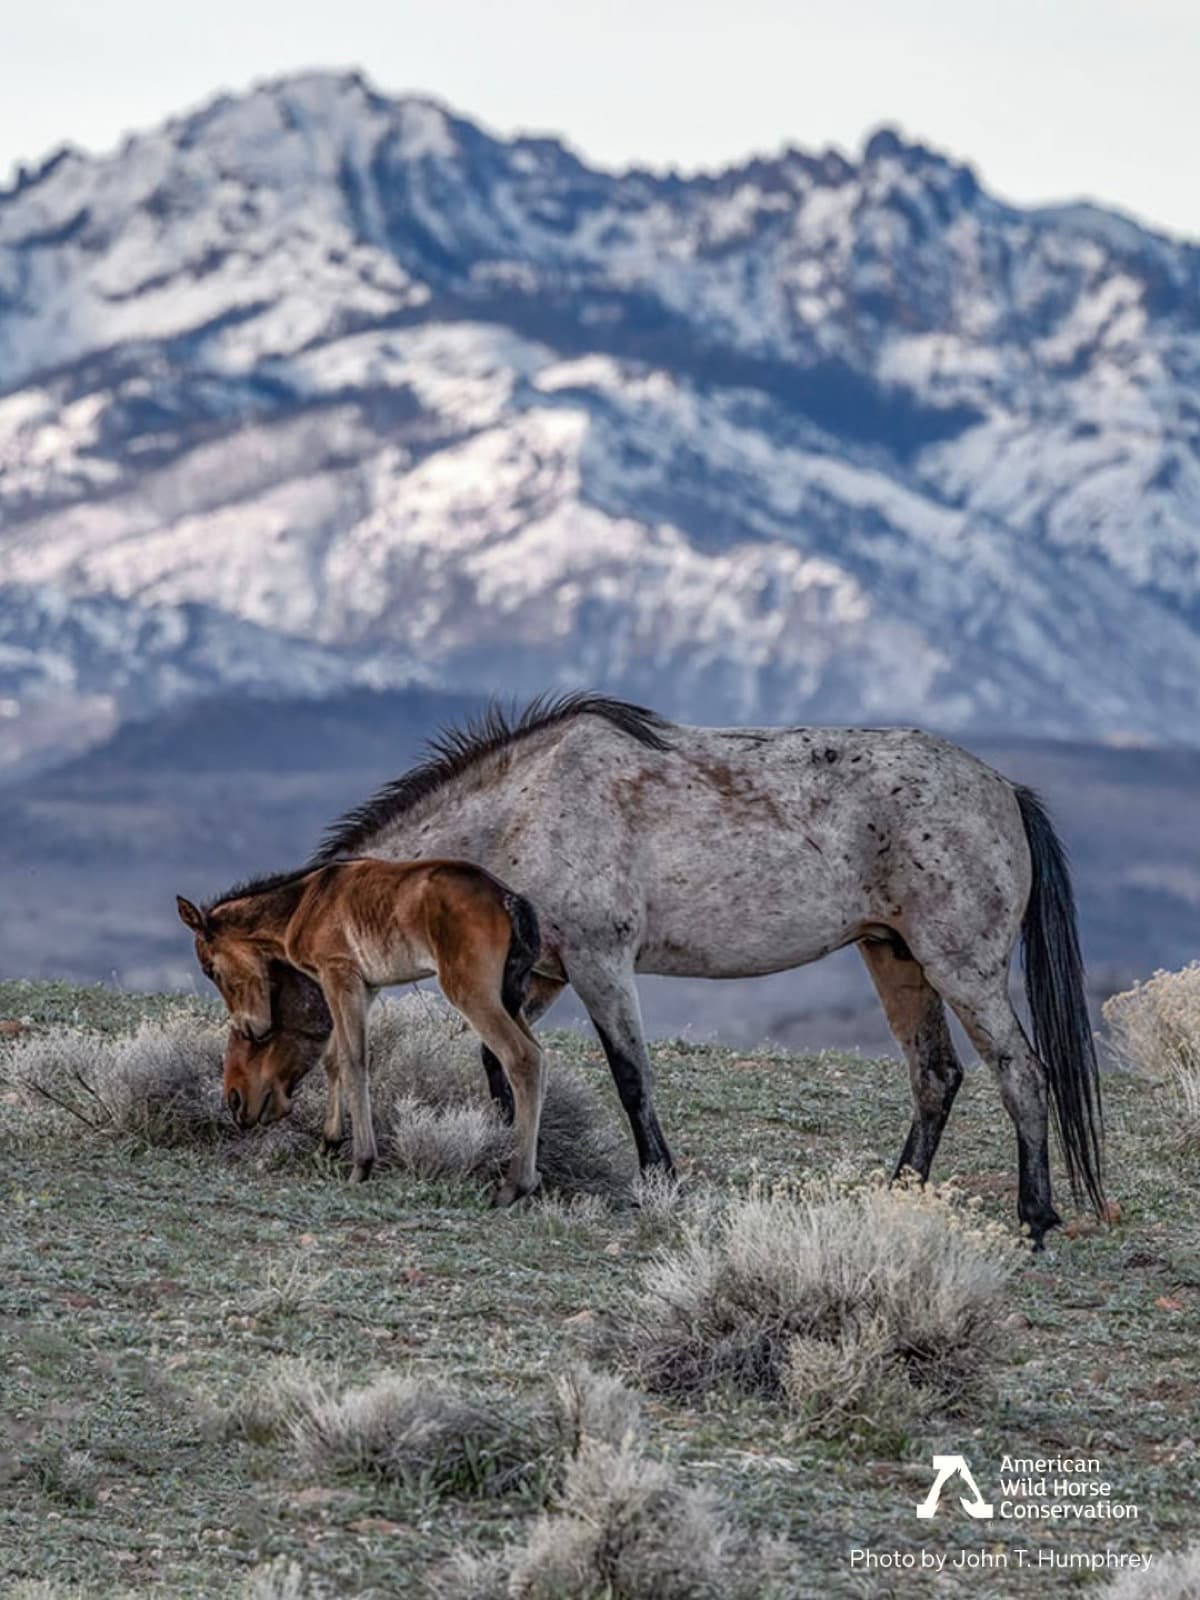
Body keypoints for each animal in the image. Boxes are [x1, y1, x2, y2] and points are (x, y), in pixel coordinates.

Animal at [177, 857, 544, 1204]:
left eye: (210, 969)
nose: (251, 1027)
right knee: (538, 1053)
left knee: (521, 1057)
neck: (306, 900)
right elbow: (335, 1058)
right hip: (510, 999)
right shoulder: (367, 988)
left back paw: (513, 1186)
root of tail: (509, 899)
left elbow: (354, 1060)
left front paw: (362, 1164)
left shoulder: (339, 974)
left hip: (470, 991)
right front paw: (329, 1142)